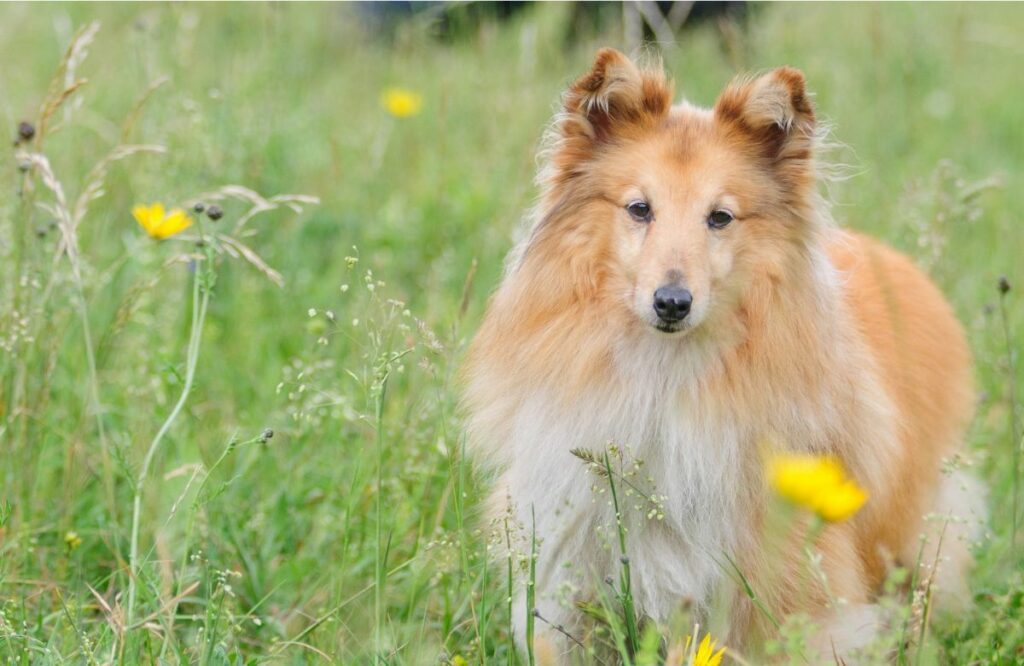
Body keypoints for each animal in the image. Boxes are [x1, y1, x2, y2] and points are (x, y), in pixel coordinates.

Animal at [464, 47, 983, 659]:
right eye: (639, 208)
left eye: (720, 217)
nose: (672, 303)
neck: (665, 377)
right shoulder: (566, 575)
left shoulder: (784, 592)